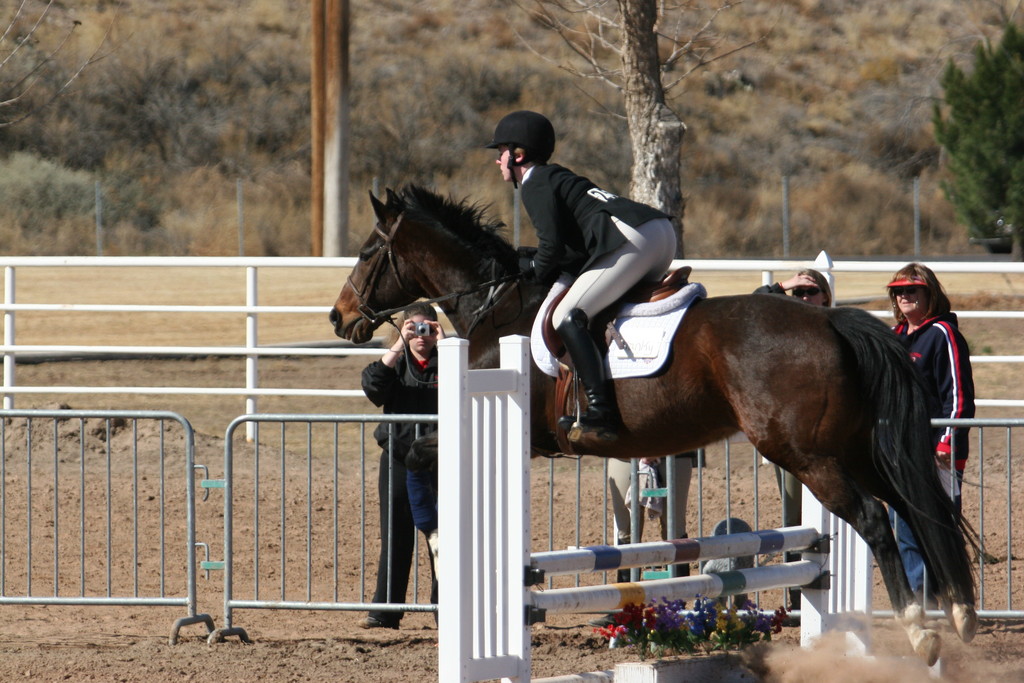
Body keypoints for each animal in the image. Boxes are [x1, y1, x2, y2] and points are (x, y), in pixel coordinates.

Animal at [331, 184, 978, 663]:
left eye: (365, 252)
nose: (338, 318)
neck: (494, 307)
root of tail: (832, 321)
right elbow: (418, 454)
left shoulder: (518, 430)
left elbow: (416, 454)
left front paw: (445, 549)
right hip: (856, 447)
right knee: (914, 506)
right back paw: (960, 613)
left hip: (808, 454)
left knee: (873, 517)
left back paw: (922, 630)